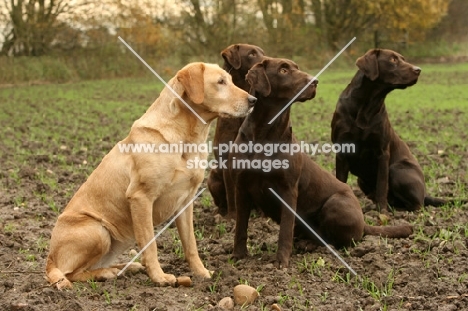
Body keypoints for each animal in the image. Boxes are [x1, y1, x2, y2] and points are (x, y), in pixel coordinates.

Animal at [46, 62, 258, 292]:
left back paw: (125, 268)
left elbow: (191, 245)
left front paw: (202, 273)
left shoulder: (186, 201)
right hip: (97, 231)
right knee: (72, 273)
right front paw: (159, 277)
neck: (187, 137)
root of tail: (50, 259)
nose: (254, 100)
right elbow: (150, 245)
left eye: (230, 80)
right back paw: (106, 274)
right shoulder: (141, 197)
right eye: (220, 82)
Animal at [208, 44, 266, 219]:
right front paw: (233, 217)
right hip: (213, 175)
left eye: (263, 52)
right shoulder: (227, 160)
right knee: (221, 201)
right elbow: (231, 193)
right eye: (251, 54)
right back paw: (220, 213)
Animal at [229, 58, 412, 268]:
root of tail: (363, 222)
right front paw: (237, 256)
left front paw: (281, 262)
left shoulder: (288, 190)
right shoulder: (241, 187)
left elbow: (285, 230)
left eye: (297, 68)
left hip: (335, 203)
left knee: (336, 240)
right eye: (283, 70)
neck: (264, 135)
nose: (314, 81)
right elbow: (240, 227)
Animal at [330, 48, 448, 214]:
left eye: (403, 59)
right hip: (362, 180)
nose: (418, 69)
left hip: (396, 169)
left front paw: (382, 212)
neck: (367, 105)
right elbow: (340, 181)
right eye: (393, 60)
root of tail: (424, 193)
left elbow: (382, 185)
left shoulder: (382, 152)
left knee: (417, 205)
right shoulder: (342, 151)